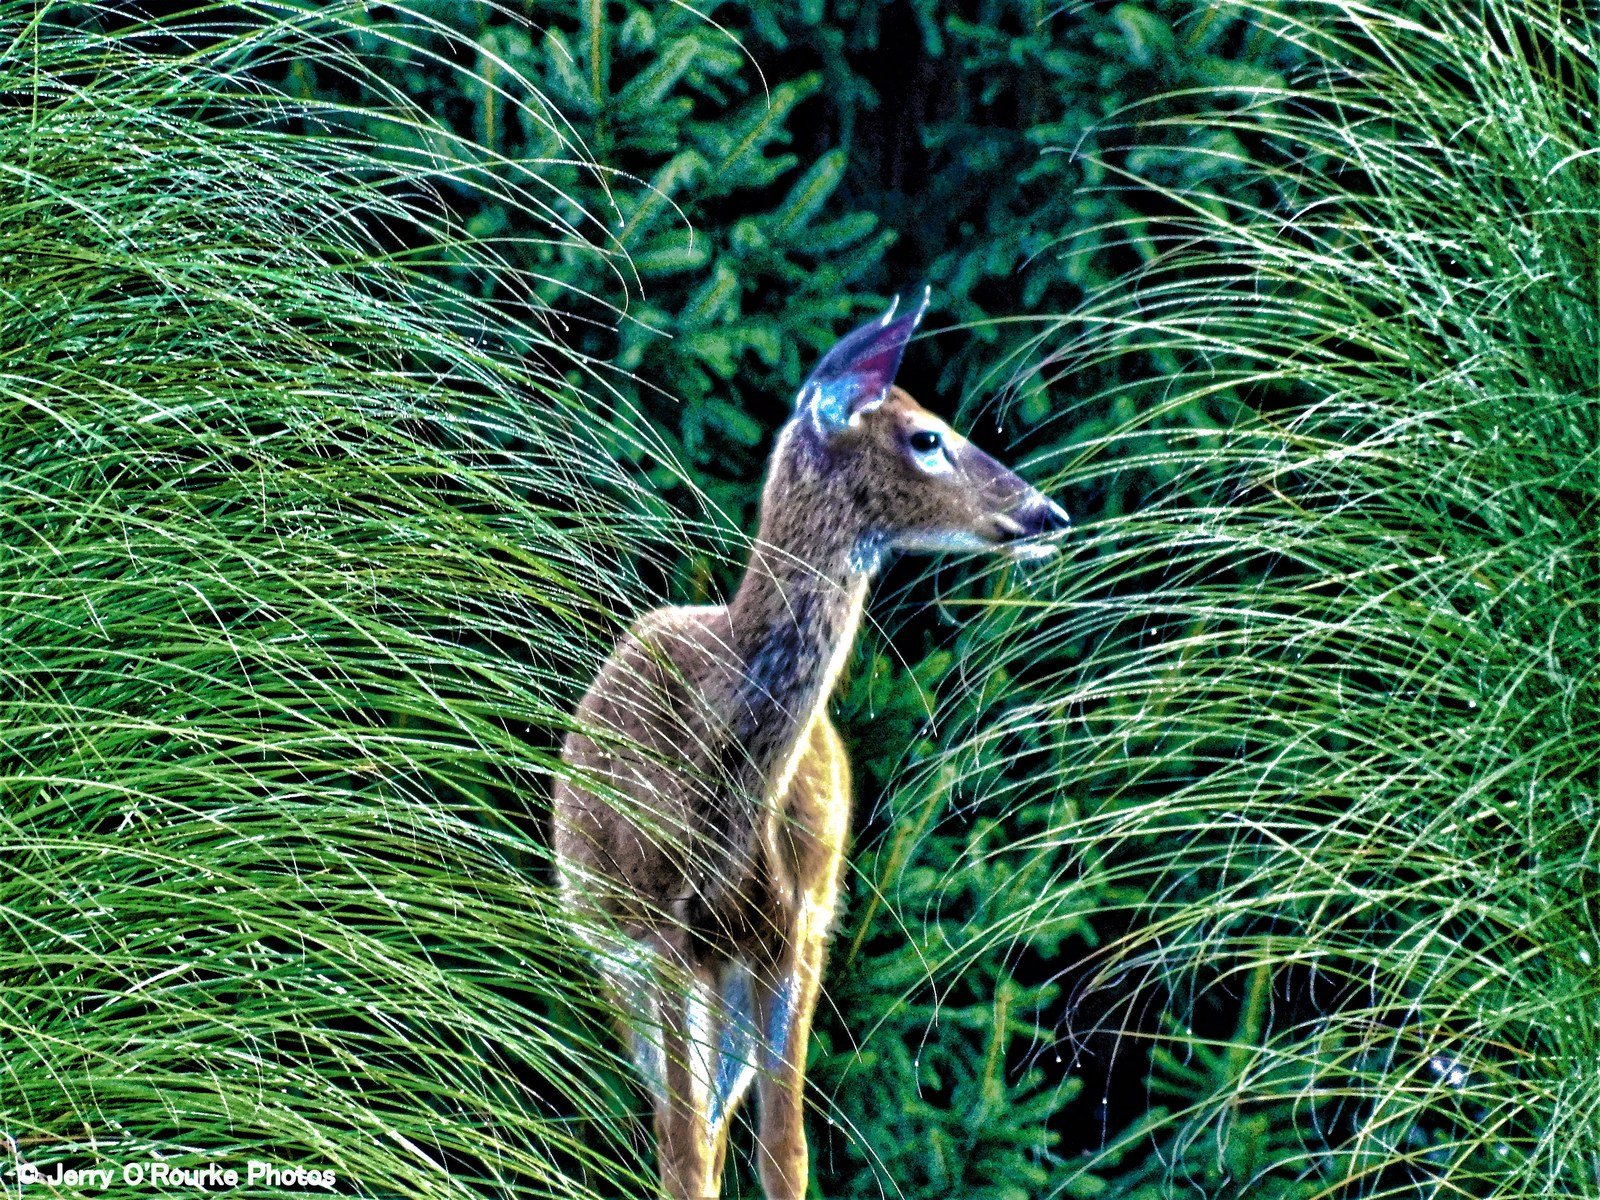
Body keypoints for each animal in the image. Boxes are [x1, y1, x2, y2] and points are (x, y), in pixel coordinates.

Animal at [552, 289, 1069, 1199]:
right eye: (926, 437)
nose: (1049, 513)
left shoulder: (794, 932)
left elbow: (784, 1153)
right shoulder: (655, 937)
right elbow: (684, 1158)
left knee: (718, 1126)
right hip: (615, 954)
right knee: (682, 1133)